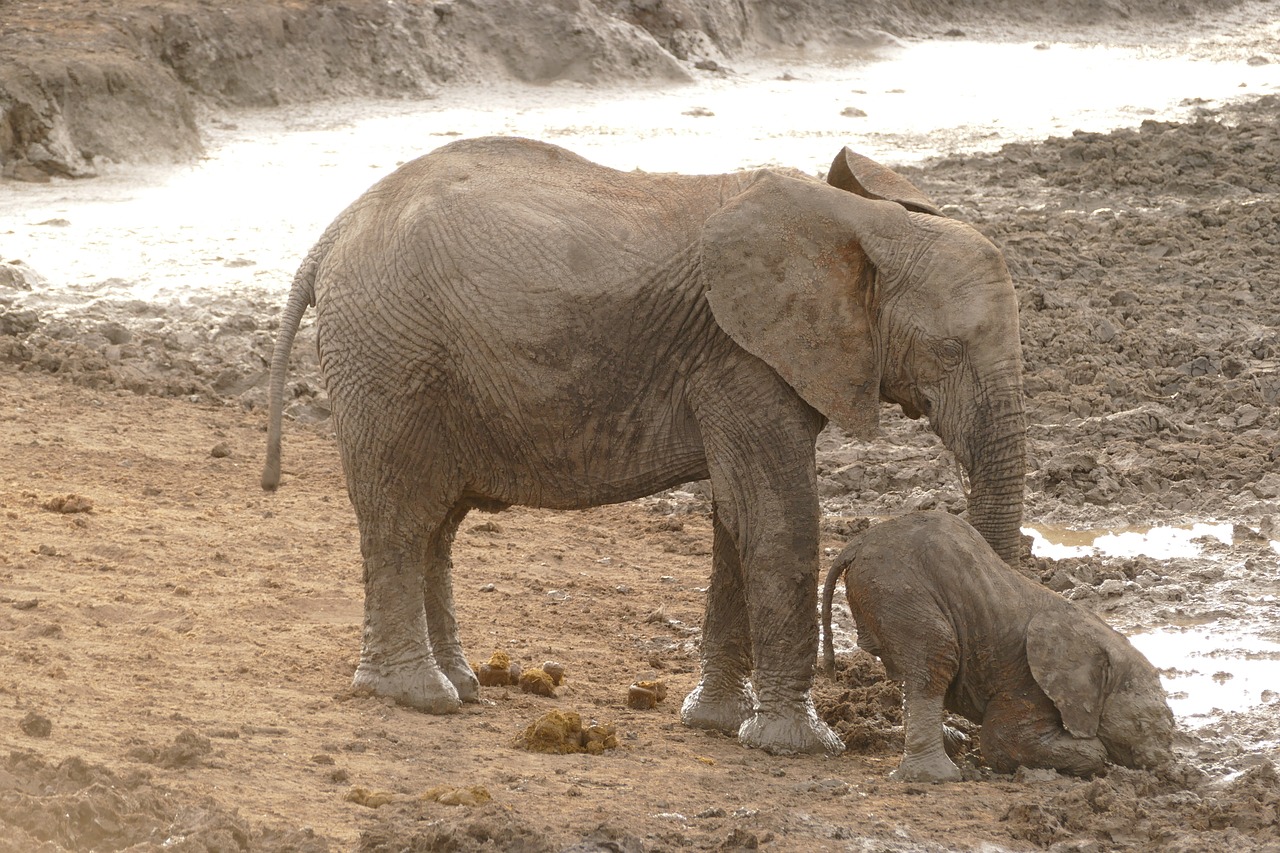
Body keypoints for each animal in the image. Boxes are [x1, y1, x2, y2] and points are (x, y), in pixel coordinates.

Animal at [262, 136, 1029, 753]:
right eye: (949, 350)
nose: (964, 735)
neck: (867, 225)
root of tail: (332, 235)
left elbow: (736, 519)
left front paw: (716, 724)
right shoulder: (739, 357)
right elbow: (776, 518)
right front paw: (803, 747)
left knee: (437, 526)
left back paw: (461, 683)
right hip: (391, 360)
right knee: (403, 515)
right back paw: (419, 698)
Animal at [824, 507, 1172, 778]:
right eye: (1143, 724)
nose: (1164, 767)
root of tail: (856, 543)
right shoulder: (1026, 680)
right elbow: (1002, 743)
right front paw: (1095, 751)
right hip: (894, 585)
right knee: (935, 656)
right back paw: (939, 776)